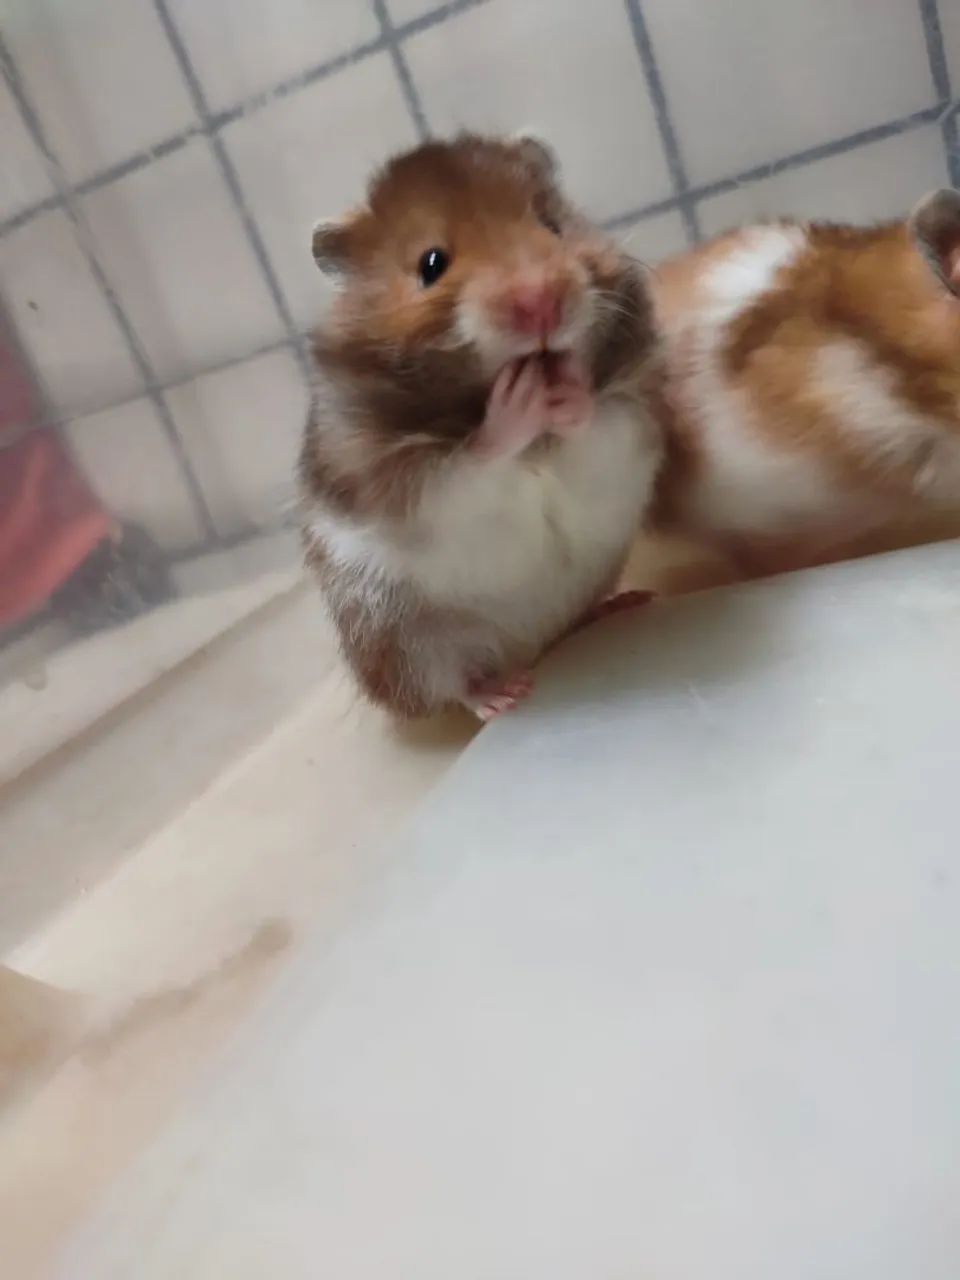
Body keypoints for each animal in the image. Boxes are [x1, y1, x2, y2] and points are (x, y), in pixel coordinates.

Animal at [300, 133, 662, 719]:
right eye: (431, 264)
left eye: (552, 224)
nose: (541, 301)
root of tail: (532, 646)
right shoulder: (401, 479)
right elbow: (473, 459)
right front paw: (516, 401)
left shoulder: (631, 414)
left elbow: (596, 421)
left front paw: (566, 383)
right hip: (408, 642)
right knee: (453, 686)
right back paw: (504, 696)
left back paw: (624, 604)